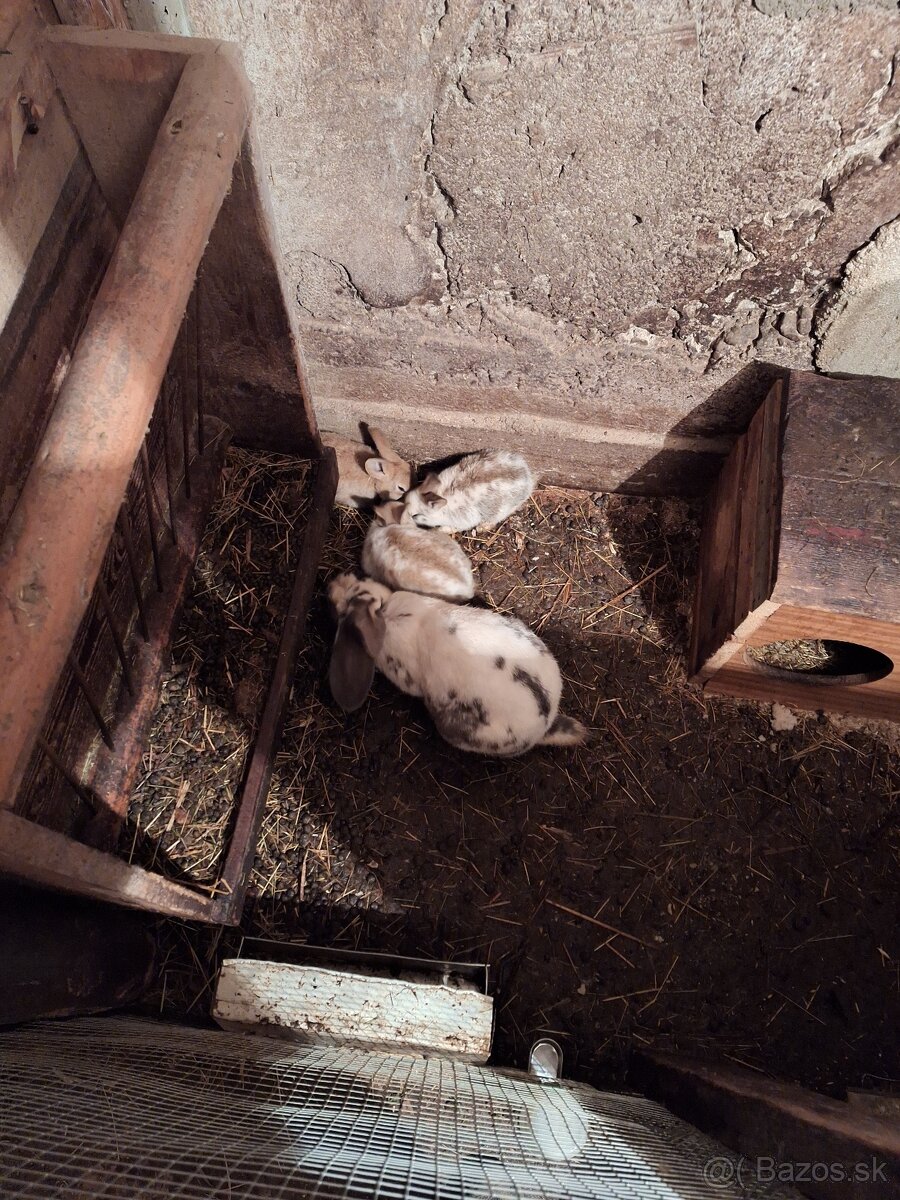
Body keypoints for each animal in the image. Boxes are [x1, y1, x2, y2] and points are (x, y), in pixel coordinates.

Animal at [402, 449, 536, 532]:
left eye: (415, 515)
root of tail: (526, 473)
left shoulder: (465, 519)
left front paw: (441, 530)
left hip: (504, 509)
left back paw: (482, 527)